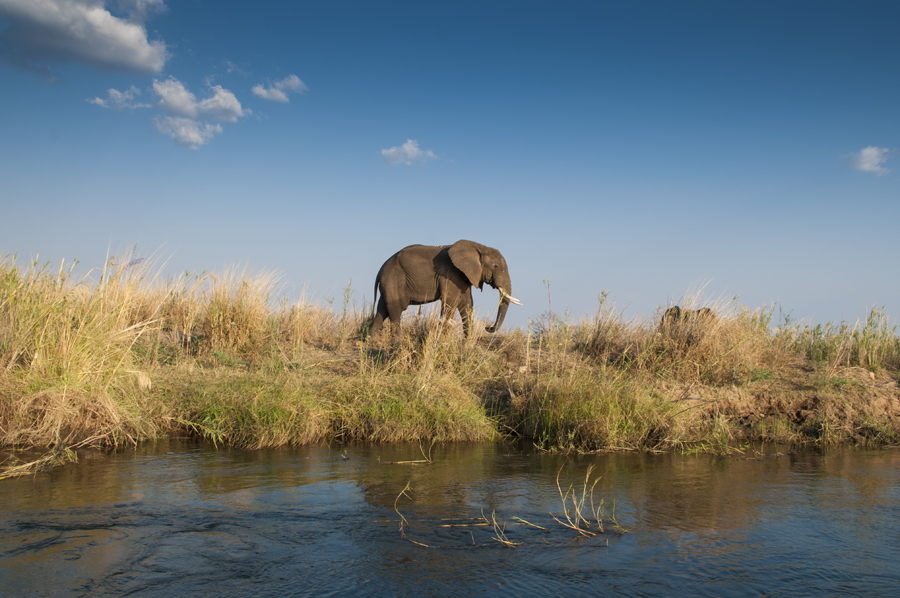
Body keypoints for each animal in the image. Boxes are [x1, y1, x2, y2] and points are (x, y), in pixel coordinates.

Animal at [368, 240, 521, 339]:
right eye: (495, 266)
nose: (487, 327)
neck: (479, 247)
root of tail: (380, 271)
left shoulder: (463, 276)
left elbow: (466, 304)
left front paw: (467, 343)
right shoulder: (450, 273)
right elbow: (450, 302)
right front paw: (443, 339)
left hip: (389, 282)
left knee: (382, 309)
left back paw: (372, 341)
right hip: (394, 279)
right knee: (395, 308)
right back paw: (398, 341)